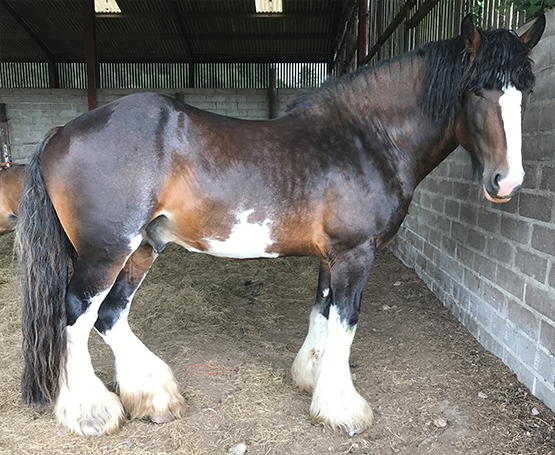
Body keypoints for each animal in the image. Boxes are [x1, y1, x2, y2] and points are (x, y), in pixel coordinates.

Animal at [15, 14, 544, 436]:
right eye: (476, 88)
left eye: (526, 90)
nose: (508, 180)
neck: (364, 138)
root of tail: (62, 131)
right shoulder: (356, 254)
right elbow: (346, 323)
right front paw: (344, 409)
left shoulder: (334, 256)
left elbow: (323, 313)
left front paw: (313, 381)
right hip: (107, 251)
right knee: (75, 316)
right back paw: (91, 413)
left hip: (143, 248)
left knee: (110, 316)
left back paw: (155, 396)